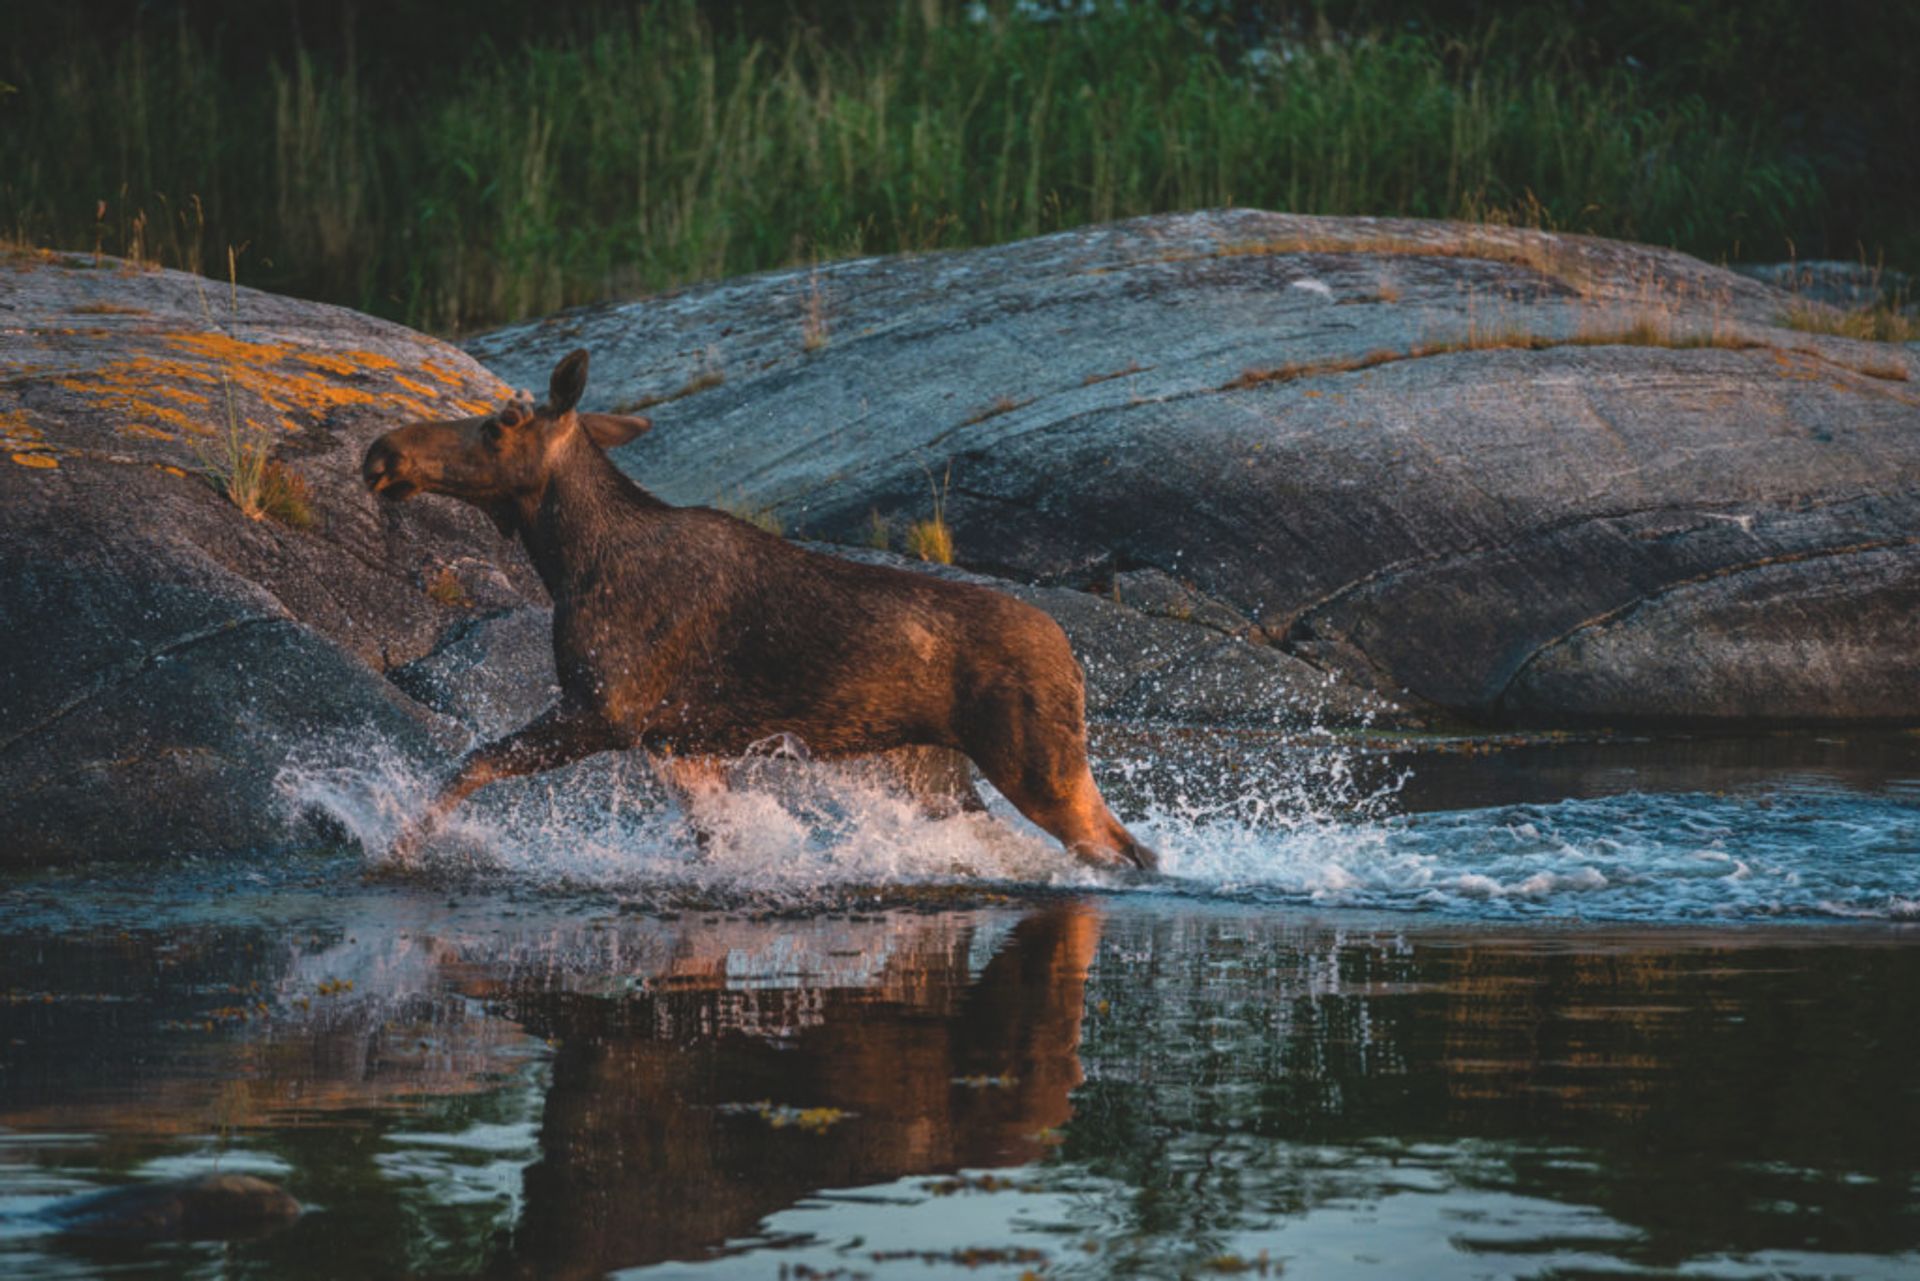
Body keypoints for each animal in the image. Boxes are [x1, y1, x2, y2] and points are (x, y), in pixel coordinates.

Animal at [362, 351, 1152, 871]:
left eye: (499, 426)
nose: (382, 450)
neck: (568, 560)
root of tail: (1073, 657)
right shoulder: (681, 743)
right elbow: (718, 843)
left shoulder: (604, 710)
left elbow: (470, 764)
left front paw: (396, 849)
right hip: (939, 774)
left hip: (1038, 761)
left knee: (1123, 850)